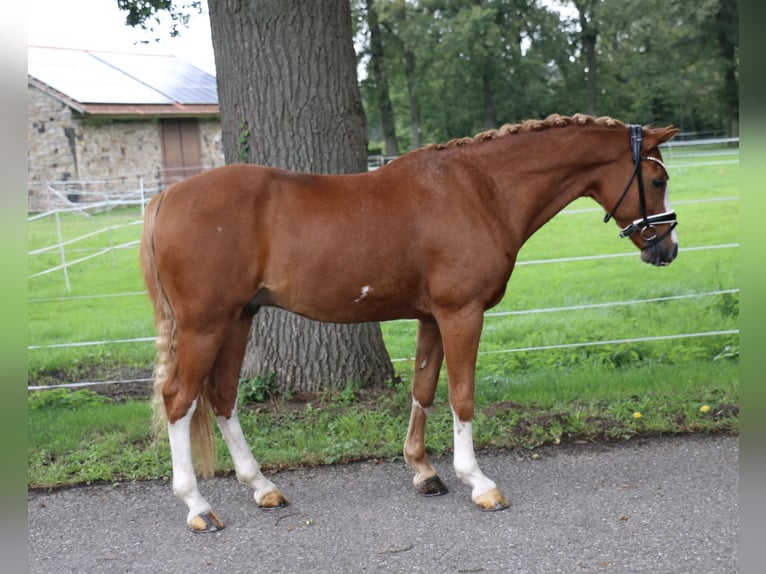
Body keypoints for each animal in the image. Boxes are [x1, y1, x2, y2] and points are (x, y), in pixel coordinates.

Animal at [142, 115, 680, 532]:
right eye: (657, 181)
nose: (667, 249)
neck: (482, 189)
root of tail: (166, 198)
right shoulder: (462, 314)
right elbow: (461, 396)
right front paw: (479, 483)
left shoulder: (431, 318)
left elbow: (423, 389)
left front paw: (424, 471)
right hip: (205, 325)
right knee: (179, 400)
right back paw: (197, 506)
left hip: (239, 319)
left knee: (223, 397)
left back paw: (262, 487)